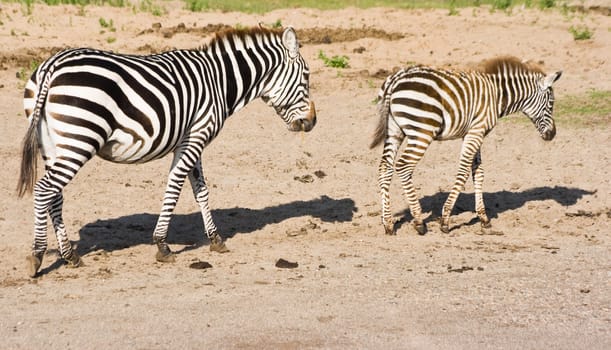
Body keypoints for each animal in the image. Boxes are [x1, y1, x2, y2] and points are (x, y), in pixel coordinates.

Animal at [17, 26, 318, 278]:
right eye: (306, 77)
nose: (313, 122)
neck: (220, 81)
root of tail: (52, 66)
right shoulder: (196, 136)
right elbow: (174, 187)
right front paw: (162, 245)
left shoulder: (191, 139)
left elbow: (201, 191)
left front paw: (215, 239)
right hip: (80, 140)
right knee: (44, 190)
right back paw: (37, 256)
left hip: (54, 145)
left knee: (55, 195)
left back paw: (70, 256)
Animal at [370, 56, 560, 235]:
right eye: (551, 104)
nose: (552, 135)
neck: (498, 95)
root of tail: (396, 79)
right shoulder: (476, 131)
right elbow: (463, 173)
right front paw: (445, 220)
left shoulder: (473, 132)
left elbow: (478, 172)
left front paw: (483, 218)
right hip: (422, 131)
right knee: (404, 166)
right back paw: (419, 222)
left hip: (394, 130)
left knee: (384, 168)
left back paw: (388, 224)